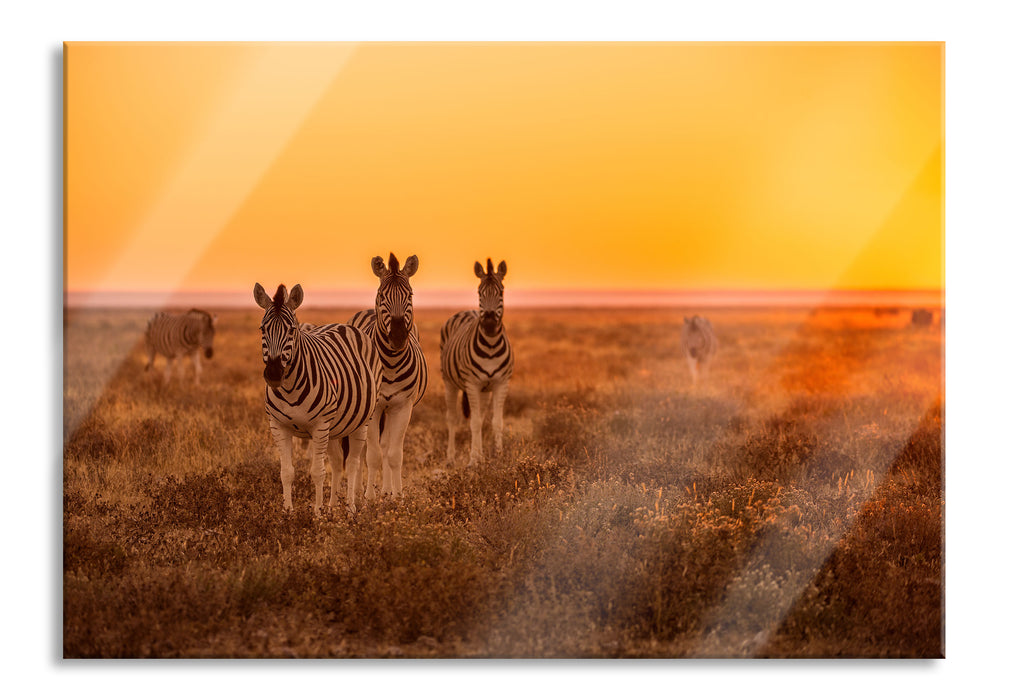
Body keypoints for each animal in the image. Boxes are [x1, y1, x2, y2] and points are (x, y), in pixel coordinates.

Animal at [254, 282, 380, 513]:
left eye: (292, 330)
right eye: (262, 329)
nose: (274, 374)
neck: (290, 388)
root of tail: (343, 325)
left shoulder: (320, 426)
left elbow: (317, 472)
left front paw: (317, 514)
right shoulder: (278, 426)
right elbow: (287, 472)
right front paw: (288, 512)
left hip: (361, 421)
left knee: (353, 463)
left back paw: (350, 508)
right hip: (335, 426)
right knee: (338, 462)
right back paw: (332, 507)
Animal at [348, 253, 428, 500]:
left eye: (410, 295)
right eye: (382, 295)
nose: (398, 337)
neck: (391, 364)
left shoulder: (402, 406)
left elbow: (393, 454)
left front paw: (397, 497)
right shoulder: (374, 408)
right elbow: (372, 454)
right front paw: (368, 499)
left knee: (385, 446)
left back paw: (385, 490)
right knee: (362, 449)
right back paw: (359, 491)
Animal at [440, 258, 514, 467]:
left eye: (501, 292)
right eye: (479, 292)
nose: (489, 324)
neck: (490, 346)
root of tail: (467, 310)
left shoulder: (501, 383)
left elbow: (496, 421)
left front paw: (498, 455)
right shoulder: (472, 384)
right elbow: (473, 423)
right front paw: (473, 460)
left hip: (484, 390)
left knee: (479, 416)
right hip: (449, 382)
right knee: (452, 418)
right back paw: (451, 458)